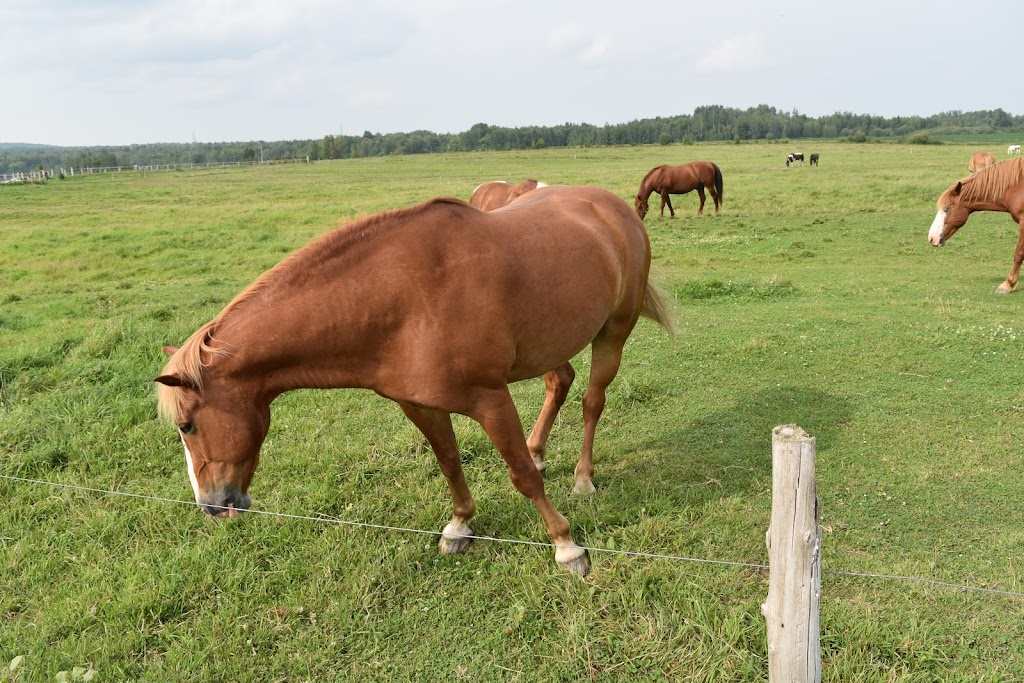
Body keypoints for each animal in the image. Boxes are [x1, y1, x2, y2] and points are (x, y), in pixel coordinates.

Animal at [155, 184, 675, 573]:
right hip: (554, 341)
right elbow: (449, 462)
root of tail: (612, 207)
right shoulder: (418, 404)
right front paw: (460, 526)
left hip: (613, 333)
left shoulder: (490, 399)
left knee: (592, 401)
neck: (402, 298)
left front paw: (566, 546)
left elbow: (521, 476)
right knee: (559, 383)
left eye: (187, 425)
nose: (211, 504)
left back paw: (583, 478)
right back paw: (540, 448)